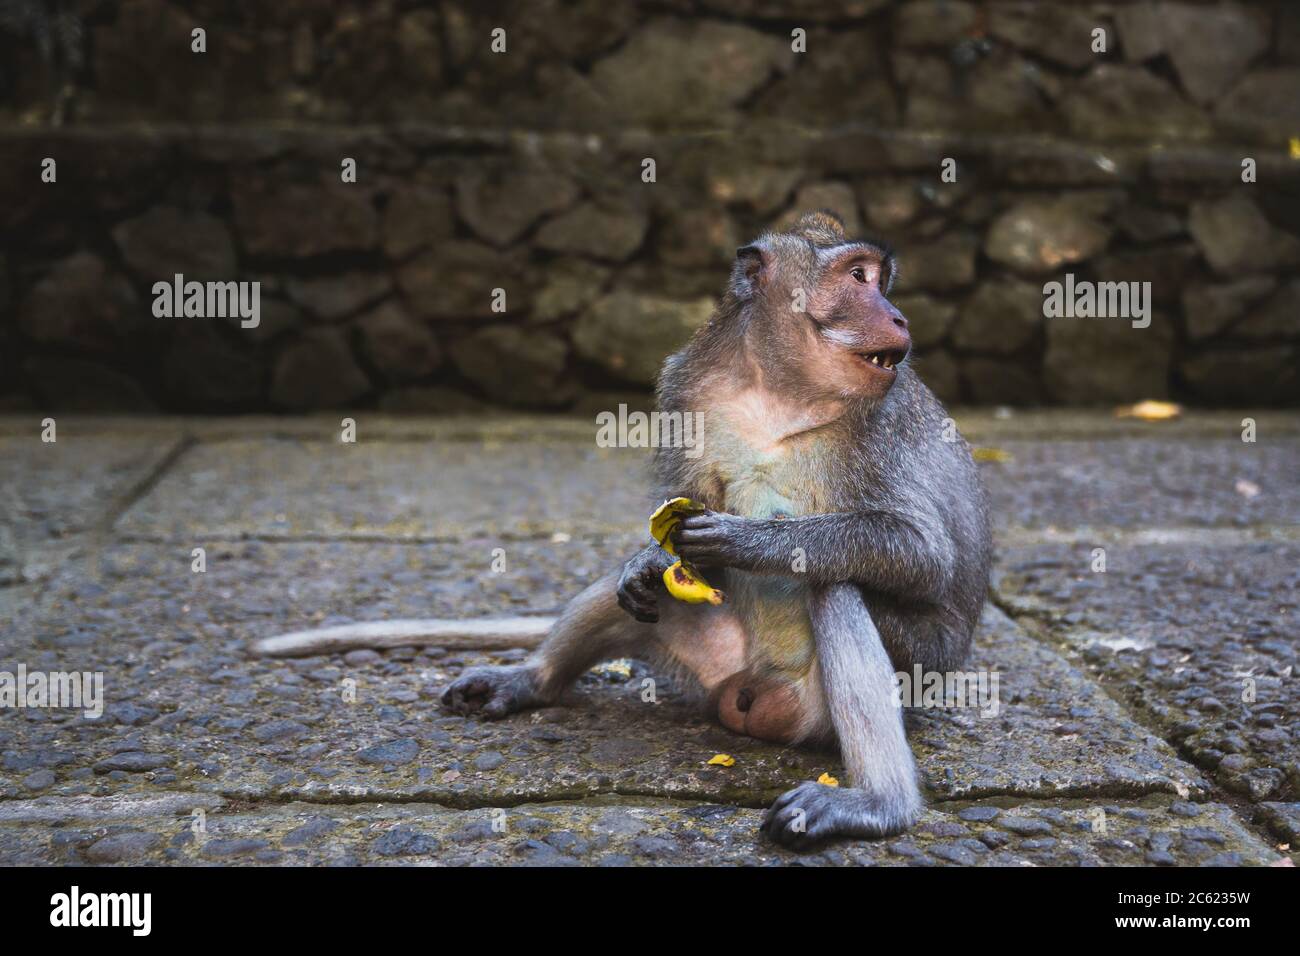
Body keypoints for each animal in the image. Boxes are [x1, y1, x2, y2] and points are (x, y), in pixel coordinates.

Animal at [250, 209, 982, 842]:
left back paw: (877, 803)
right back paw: (535, 679)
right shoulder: (685, 387)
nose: (897, 314)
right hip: (710, 659)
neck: (781, 391)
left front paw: (752, 540)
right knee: (643, 599)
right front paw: (650, 560)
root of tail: (752, 697)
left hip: (880, 683)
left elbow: (922, 555)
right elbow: (674, 532)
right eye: (858, 277)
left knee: (835, 587)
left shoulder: (885, 422)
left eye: (878, 279)